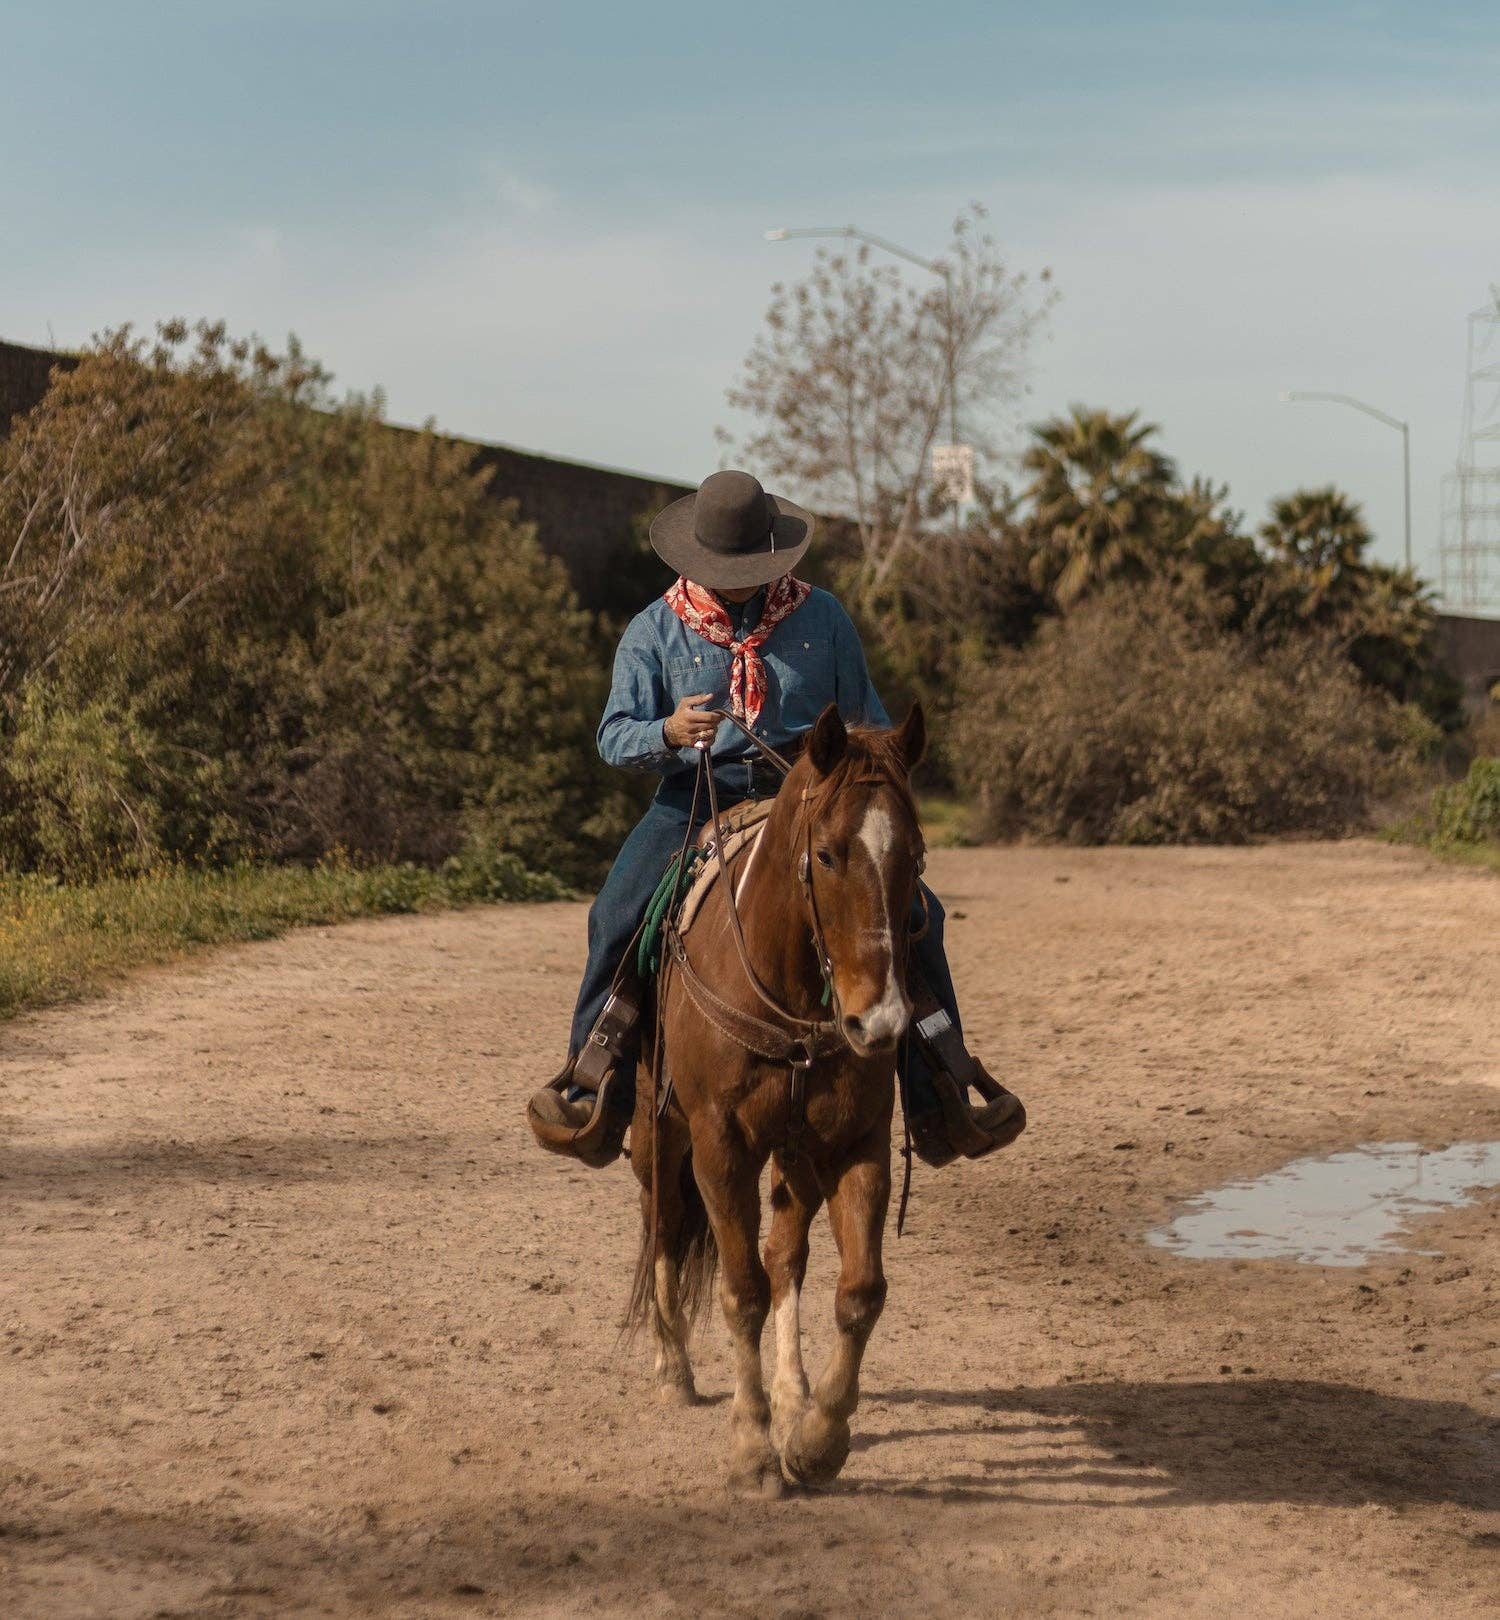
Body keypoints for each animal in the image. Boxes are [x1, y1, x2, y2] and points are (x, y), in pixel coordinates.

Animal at [625, 696, 926, 1490]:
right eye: (826, 855)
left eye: (915, 856)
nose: (879, 1022)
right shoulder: (720, 1146)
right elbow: (743, 1291)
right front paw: (754, 1449)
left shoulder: (855, 1141)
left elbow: (857, 1291)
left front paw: (816, 1438)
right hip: (658, 1131)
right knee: (663, 1223)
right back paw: (673, 1366)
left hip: (795, 1155)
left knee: (786, 1251)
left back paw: (793, 1393)